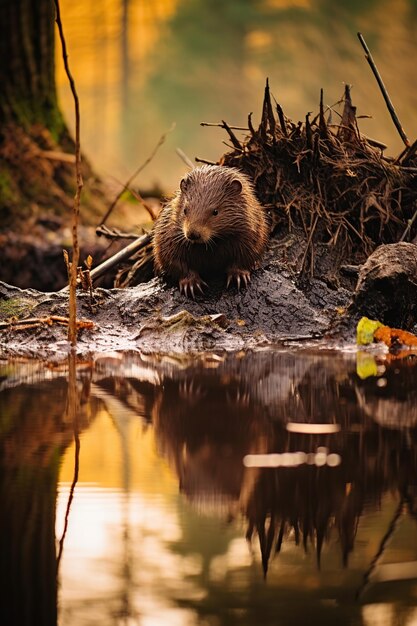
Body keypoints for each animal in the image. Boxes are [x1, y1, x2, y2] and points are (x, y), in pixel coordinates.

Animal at [152, 163, 266, 294]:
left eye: (215, 211)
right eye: (185, 210)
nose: (193, 234)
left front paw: (239, 277)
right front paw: (191, 285)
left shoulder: (252, 232)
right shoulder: (167, 235)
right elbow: (174, 261)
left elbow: (245, 257)